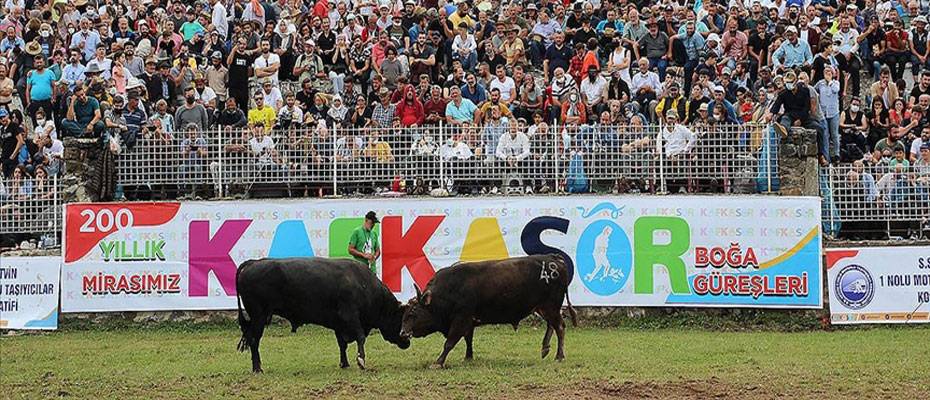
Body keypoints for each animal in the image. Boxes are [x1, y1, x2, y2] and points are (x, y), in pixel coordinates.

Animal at [234, 258, 408, 374]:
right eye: (401, 319)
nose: (407, 341)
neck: (364, 284)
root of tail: (253, 263)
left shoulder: (339, 323)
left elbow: (342, 344)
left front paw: (344, 363)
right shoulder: (350, 316)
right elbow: (360, 337)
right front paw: (361, 360)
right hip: (259, 316)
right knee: (254, 340)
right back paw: (257, 368)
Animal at [398, 255, 572, 368]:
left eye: (413, 313)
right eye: (404, 314)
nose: (402, 333)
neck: (450, 290)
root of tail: (554, 259)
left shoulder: (461, 319)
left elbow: (450, 342)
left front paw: (438, 362)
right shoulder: (469, 320)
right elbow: (468, 339)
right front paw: (468, 357)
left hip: (550, 306)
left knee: (560, 327)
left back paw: (559, 356)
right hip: (544, 308)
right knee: (552, 325)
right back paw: (545, 348)